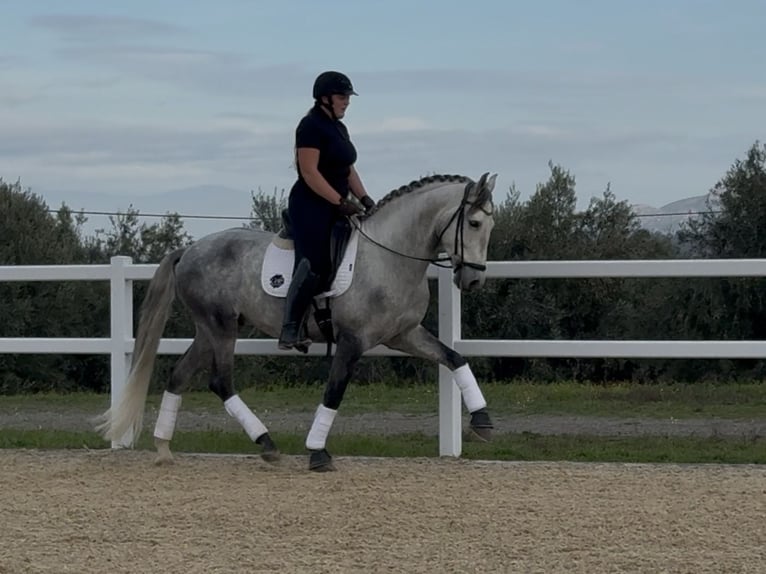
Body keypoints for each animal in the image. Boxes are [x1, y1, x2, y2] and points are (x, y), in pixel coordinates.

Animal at [95, 172, 498, 471]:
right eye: (475, 222)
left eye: (490, 224)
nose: (473, 281)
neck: (389, 256)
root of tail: (190, 249)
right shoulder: (353, 341)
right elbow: (334, 392)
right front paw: (317, 452)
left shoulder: (404, 334)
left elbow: (454, 358)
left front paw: (482, 421)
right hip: (221, 327)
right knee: (220, 382)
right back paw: (266, 443)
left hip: (209, 330)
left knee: (180, 376)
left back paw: (164, 448)